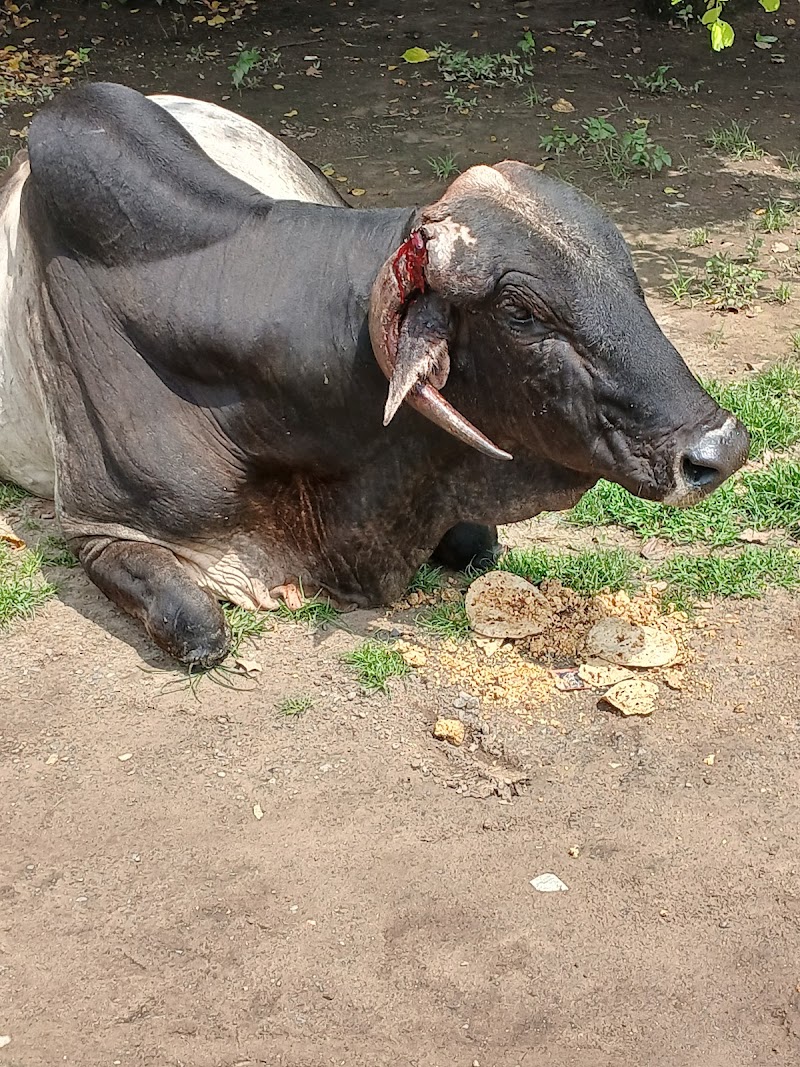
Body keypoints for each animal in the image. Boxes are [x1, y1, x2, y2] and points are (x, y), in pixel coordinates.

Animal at [0, 82, 748, 667]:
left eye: (628, 273)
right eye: (519, 311)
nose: (721, 448)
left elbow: (478, 542)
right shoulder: (99, 527)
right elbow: (202, 630)